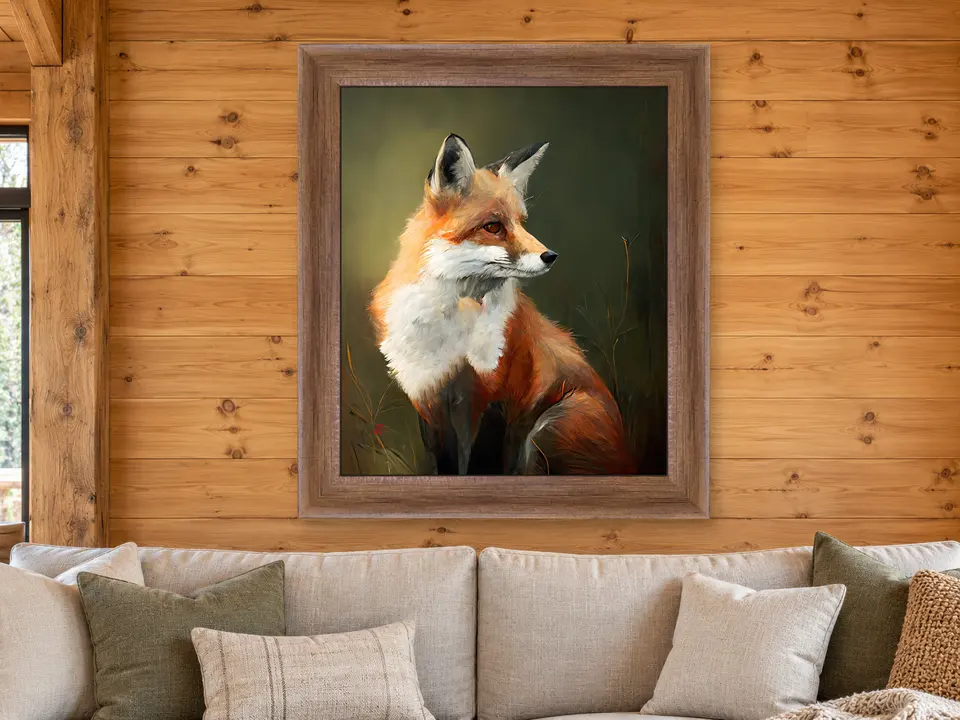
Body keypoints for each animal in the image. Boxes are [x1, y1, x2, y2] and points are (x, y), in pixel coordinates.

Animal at [370, 134, 634, 476]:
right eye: (493, 226)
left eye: (522, 223)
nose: (550, 256)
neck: (454, 328)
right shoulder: (430, 400)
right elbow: (446, 466)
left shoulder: (498, 396)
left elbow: (482, 464)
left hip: (548, 427)